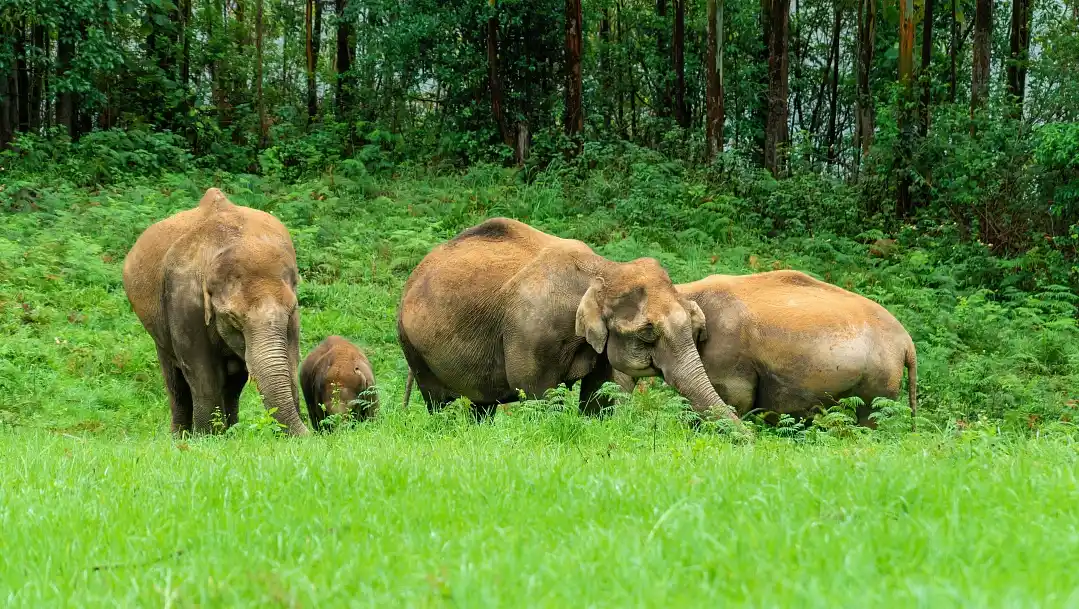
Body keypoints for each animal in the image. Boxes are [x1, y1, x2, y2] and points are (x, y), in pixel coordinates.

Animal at [122, 187, 309, 436]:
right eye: (232, 318)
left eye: (292, 309)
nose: (312, 434)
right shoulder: (183, 298)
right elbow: (201, 372)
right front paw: (207, 438)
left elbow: (289, 357)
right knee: (176, 383)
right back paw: (182, 436)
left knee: (233, 383)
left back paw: (231, 431)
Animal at [397, 217, 737, 421]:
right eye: (648, 332)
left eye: (696, 328)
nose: (747, 440)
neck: (604, 269)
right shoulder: (529, 332)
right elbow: (536, 390)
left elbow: (601, 395)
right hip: (413, 346)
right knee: (438, 401)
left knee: (482, 404)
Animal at [615, 270, 917, 429]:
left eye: (643, 335)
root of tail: (907, 342)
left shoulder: (728, 354)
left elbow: (734, 399)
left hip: (879, 378)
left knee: (870, 415)